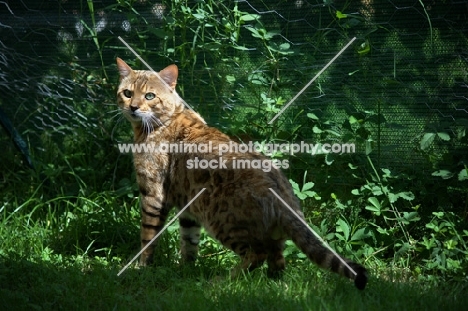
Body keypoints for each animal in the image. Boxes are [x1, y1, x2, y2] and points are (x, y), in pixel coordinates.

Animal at [115, 58, 368, 290]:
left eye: (149, 96)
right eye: (127, 93)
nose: (133, 107)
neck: (165, 121)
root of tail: (283, 193)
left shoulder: (153, 195)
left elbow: (148, 238)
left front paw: (141, 268)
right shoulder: (188, 208)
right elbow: (189, 242)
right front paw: (185, 271)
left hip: (223, 222)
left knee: (257, 255)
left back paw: (222, 280)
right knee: (278, 261)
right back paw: (272, 286)